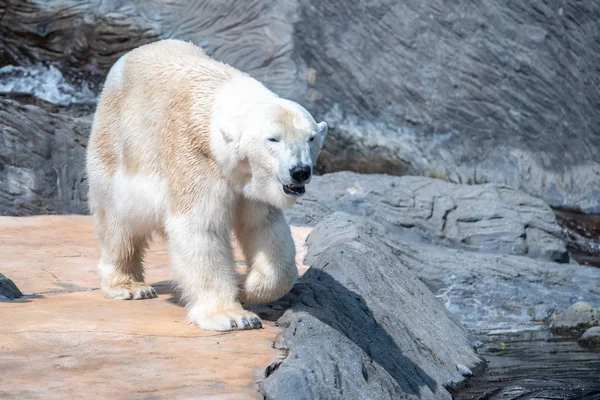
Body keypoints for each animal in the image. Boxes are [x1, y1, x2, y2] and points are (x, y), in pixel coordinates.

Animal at [86, 39, 328, 332]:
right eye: (273, 139)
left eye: (311, 138)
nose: (300, 171)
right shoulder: (196, 158)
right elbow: (201, 227)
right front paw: (233, 316)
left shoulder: (252, 185)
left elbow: (263, 227)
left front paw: (245, 287)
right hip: (115, 145)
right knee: (117, 220)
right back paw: (129, 286)